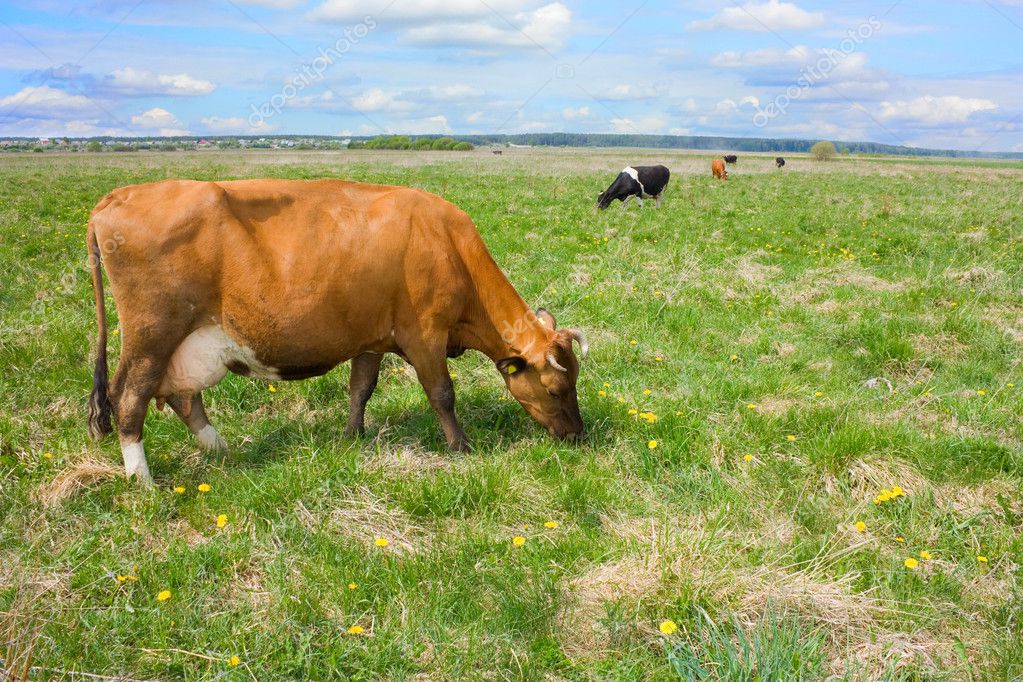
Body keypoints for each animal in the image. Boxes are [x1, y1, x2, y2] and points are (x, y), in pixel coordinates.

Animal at [86, 179, 587, 483]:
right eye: (557, 389)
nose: (579, 436)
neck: (448, 245)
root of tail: (116, 197)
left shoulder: (372, 340)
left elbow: (360, 388)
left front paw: (351, 436)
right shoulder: (424, 335)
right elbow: (442, 394)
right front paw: (461, 447)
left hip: (184, 344)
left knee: (181, 396)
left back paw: (221, 449)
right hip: (151, 336)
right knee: (129, 398)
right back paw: (143, 481)